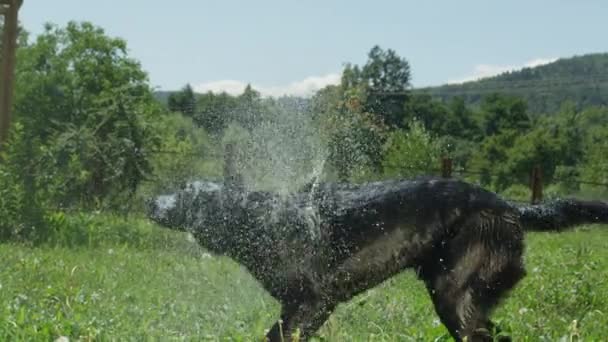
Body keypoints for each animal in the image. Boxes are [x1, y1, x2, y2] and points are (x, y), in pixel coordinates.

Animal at [148, 161, 608, 342]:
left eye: (184, 191)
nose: (150, 201)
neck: (260, 220)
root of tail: (508, 206)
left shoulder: (314, 300)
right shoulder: (306, 308)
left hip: (454, 293)